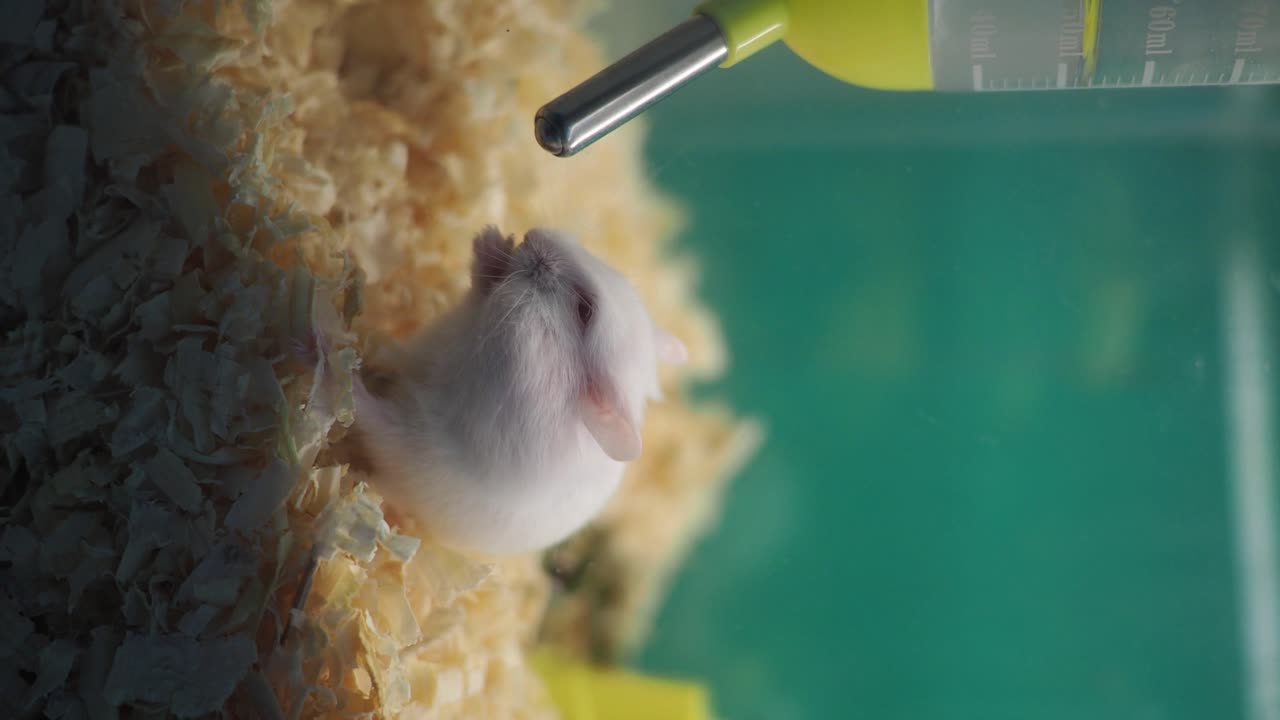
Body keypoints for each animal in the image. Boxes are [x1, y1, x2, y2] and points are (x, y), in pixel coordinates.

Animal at [334, 226, 687, 556]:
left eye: (584, 310)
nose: (532, 234)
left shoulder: (425, 435)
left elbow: (377, 420)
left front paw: (347, 374)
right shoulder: (461, 328)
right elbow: (479, 292)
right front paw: (492, 238)